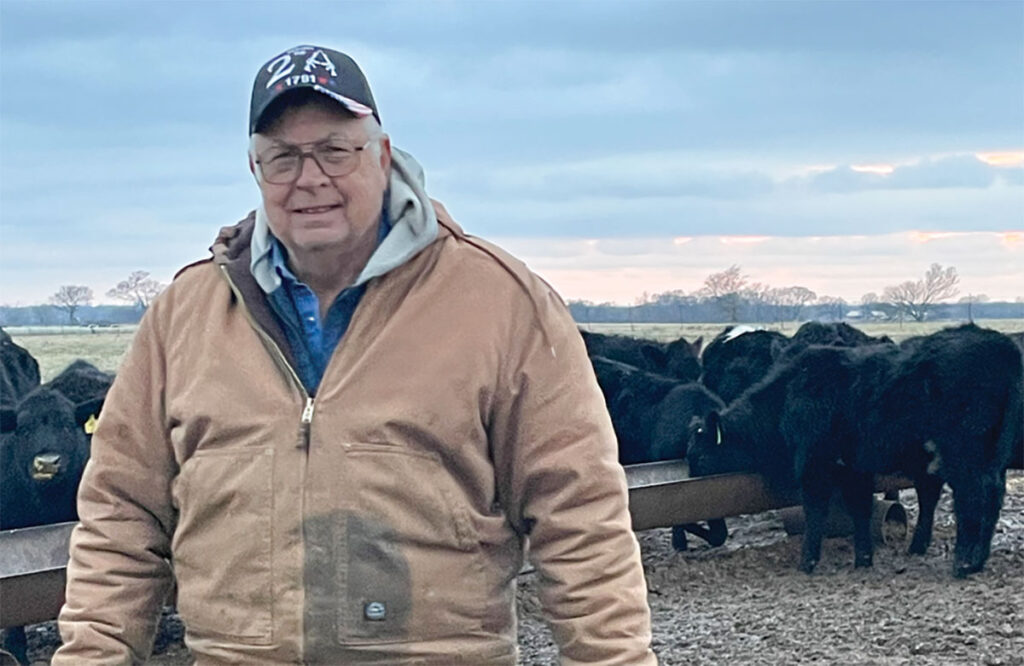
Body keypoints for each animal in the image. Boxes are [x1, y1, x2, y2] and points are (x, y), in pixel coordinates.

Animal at [688, 323, 1024, 573]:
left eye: (699, 455)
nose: (693, 479)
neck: (790, 392)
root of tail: (998, 344)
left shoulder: (815, 464)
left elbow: (815, 510)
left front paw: (808, 561)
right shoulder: (854, 466)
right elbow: (860, 509)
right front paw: (863, 558)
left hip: (964, 455)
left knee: (975, 496)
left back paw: (964, 562)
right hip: (988, 457)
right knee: (992, 495)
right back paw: (977, 559)